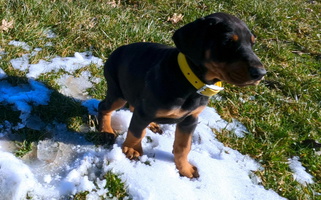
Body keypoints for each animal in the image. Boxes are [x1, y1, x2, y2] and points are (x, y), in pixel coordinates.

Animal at [98, 12, 264, 178]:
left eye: (252, 43)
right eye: (227, 42)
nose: (261, 73)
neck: (191, 82)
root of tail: (119, 49)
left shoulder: (190, 119)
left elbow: (184, 146)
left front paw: (185, 168)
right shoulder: (146, 111)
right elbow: (137, 132)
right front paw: (132, 149)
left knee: (133, 107)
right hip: (118, 92)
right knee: (105, 107)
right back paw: (106, 131)